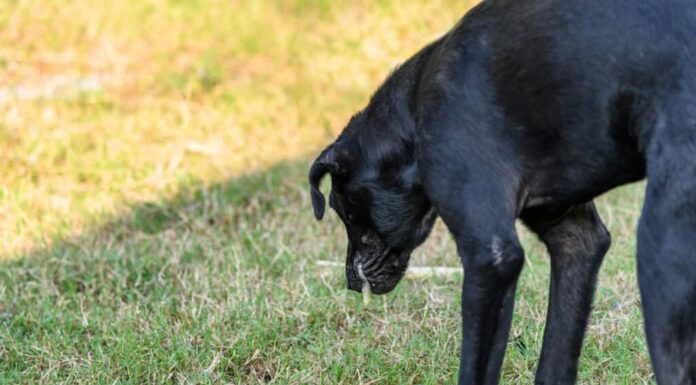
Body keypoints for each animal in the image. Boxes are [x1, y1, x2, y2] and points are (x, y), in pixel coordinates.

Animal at [310, 1, 696, 382]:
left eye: (344, 210)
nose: (349, 281)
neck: (413, 109)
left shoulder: (490, 258)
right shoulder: (575, 238)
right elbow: (556, 358)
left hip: (660, 257)